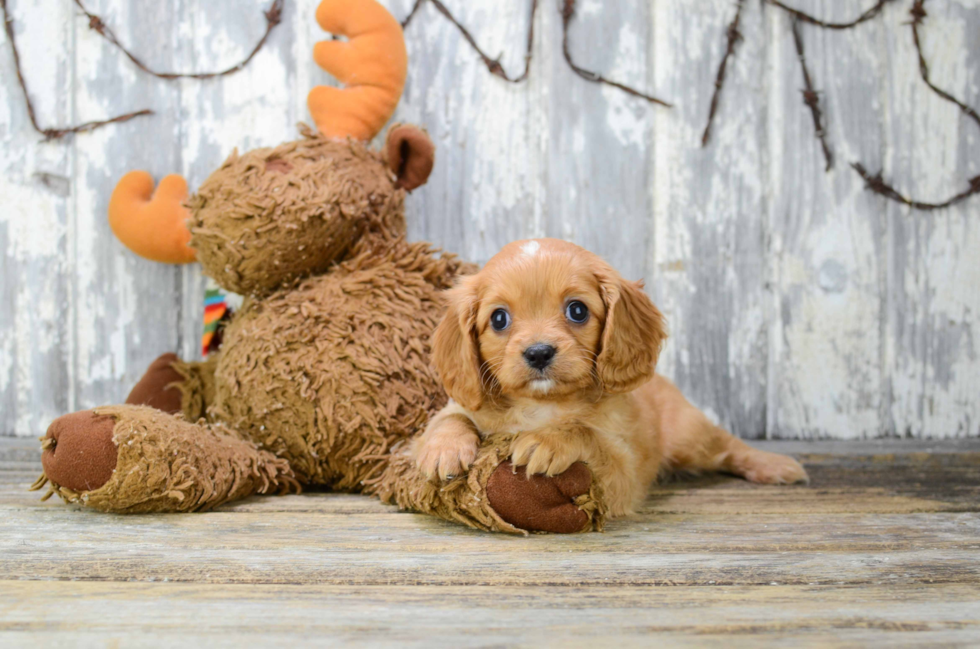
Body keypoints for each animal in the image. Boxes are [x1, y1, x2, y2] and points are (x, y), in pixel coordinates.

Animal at [414, 238, 804, 516]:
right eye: (498, 319)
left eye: (577, 310)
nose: (539, 353)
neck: (542, 404)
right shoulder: (457, 406)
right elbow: (450, 417)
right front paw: (443, 449)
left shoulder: (620, 478)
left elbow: (585, 433)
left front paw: (549, 441)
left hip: (689, 437)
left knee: (728, 446)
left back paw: (774, 465)